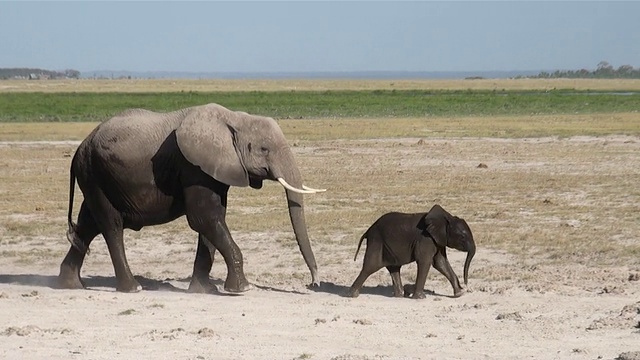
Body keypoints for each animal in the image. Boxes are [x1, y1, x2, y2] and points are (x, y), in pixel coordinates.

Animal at [57, 102, 324, 294]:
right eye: (264, 149)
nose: (314, 283)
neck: (234, 119)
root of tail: (80, 148)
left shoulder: (213, 170)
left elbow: (212, 220)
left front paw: (204, 290)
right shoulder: (193, 167)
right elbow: (204, 217)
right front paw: (242, 289)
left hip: (96, 176)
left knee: (88, 224)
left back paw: (70, 285)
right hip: (95, 173)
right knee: (111, 226)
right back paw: (132, 288)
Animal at [348, 204, 478, 300]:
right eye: (462, 237)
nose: (466, 285)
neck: (446, 218)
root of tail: (368, 230)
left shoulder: (438, 240)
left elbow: (441, 263)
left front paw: (460, 294)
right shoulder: (425, 239)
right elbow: (426, 262)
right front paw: (419, 297)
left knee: (394, 268)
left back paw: (399, 295)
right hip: (377, 242)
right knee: (370, 266)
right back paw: (352, 294)